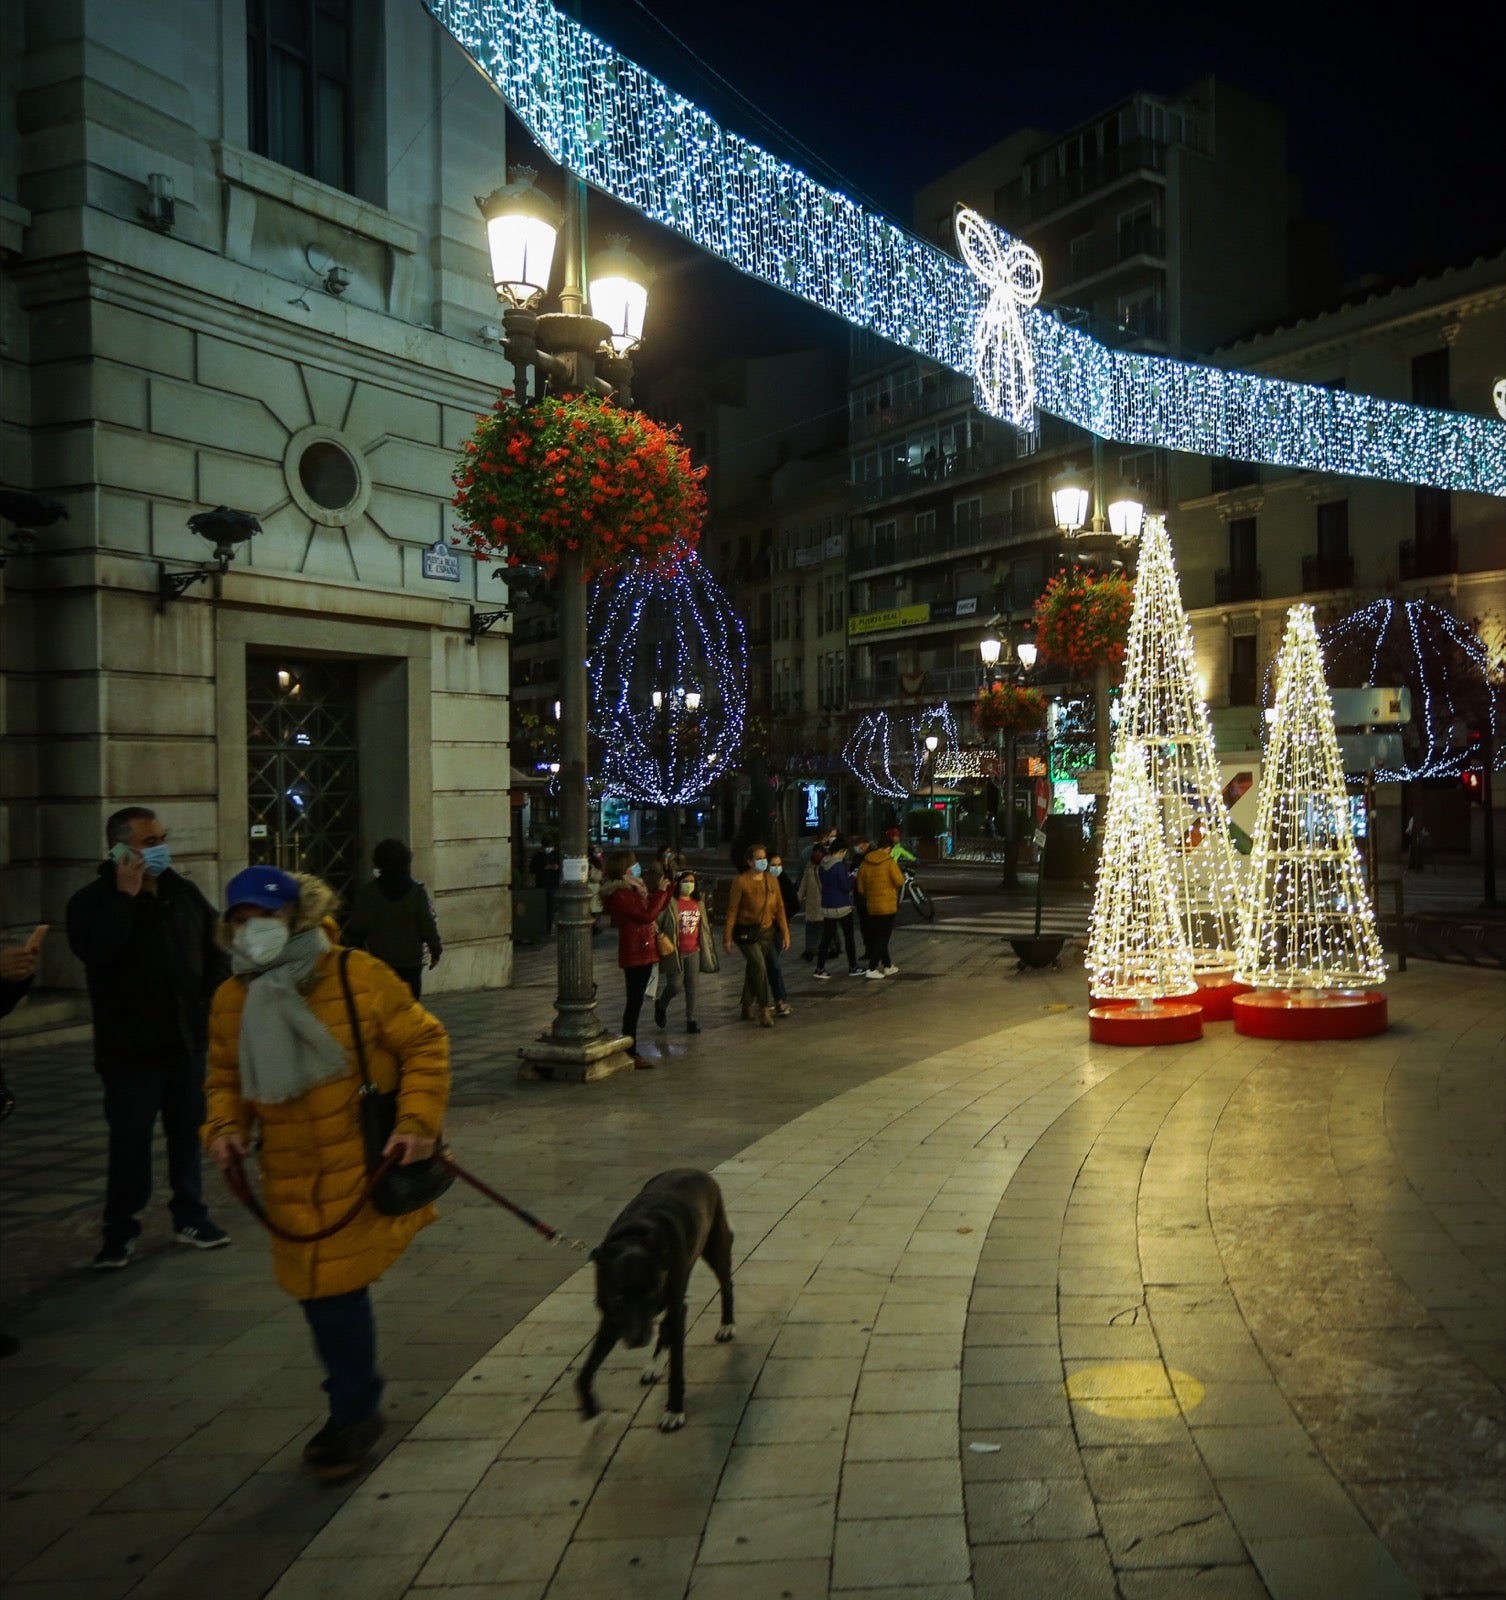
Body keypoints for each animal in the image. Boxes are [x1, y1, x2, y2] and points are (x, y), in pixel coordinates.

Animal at [576, 1164, 732, 1440]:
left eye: (651, 1292)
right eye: (618, 1296)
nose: (638, 1340)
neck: (635, 1237)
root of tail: (693, 1169)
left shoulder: (674, 1308)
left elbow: (677, 1370)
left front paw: (674, 1412)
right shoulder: (612, 1319)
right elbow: (585, 1373)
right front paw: (591, 1408)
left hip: (715, 1247)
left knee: (725, 1285)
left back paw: (726, 1325)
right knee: (664, 1328)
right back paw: (654, 1365)